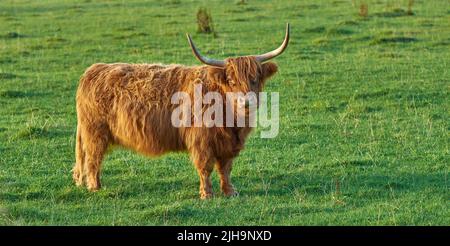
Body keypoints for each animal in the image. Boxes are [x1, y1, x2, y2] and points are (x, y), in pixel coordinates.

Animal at [73, 24, 292, 199]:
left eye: (254, 78)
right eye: (231, 80)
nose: (246, 102)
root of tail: (93, 71)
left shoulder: (228, 144)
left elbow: (226, 168)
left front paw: (230, 191)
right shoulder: (201, 141)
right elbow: (205, 167)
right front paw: (207, 194)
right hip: (95, 132)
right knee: (93, 159)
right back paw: (95, 187)